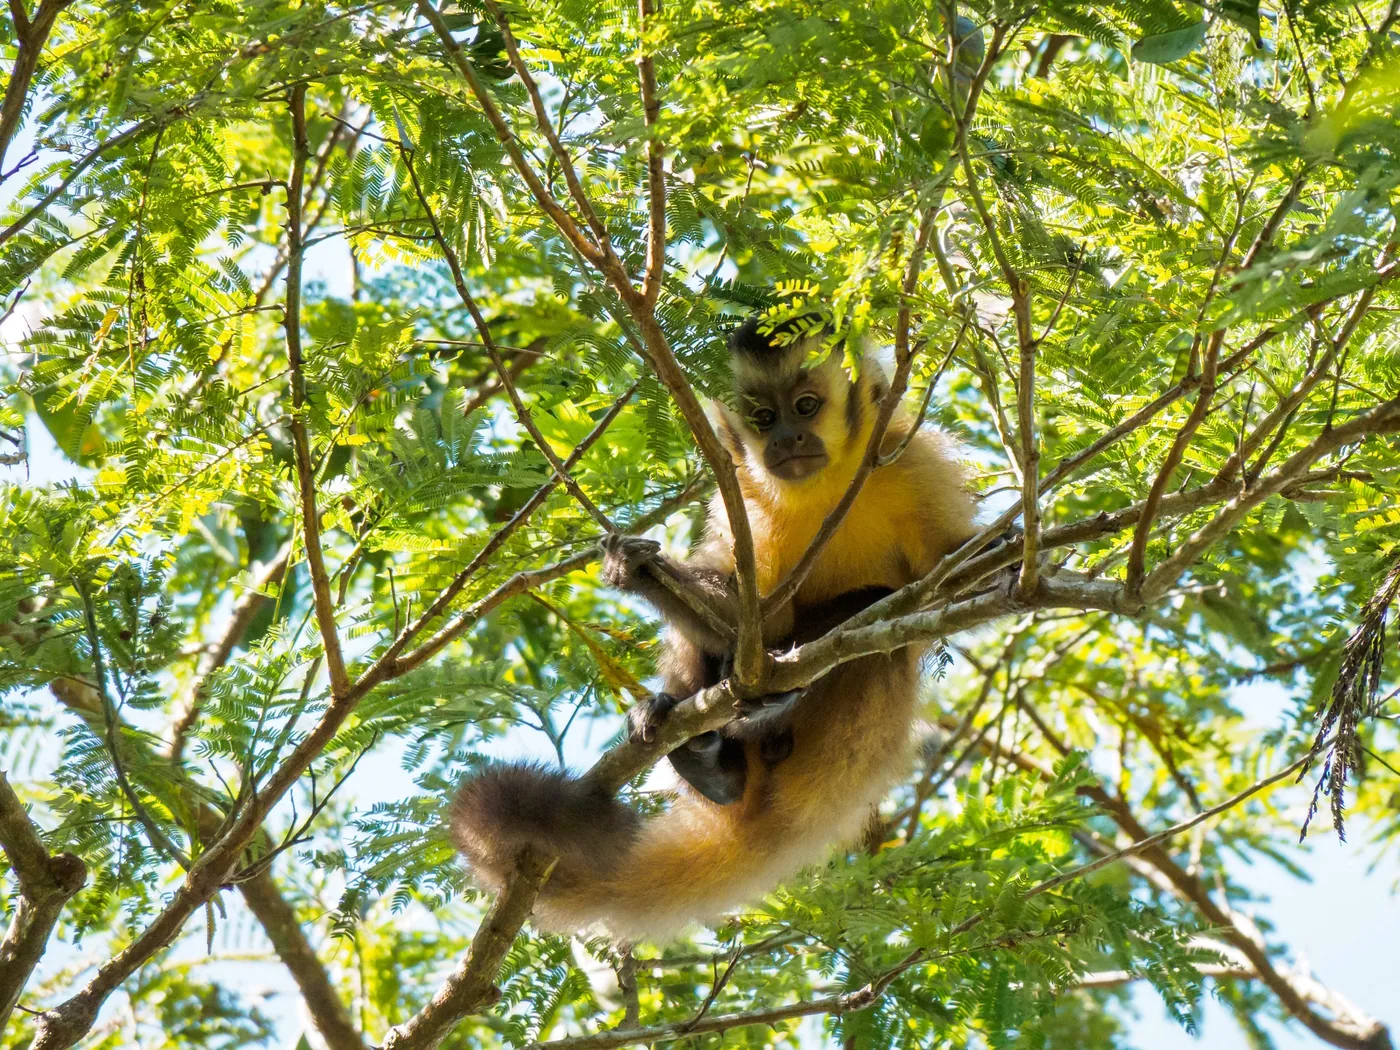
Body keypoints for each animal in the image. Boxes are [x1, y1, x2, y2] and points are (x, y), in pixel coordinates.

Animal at [449, 315, 978, 943]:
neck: (829, 484)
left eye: (806, 406)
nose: (786, 440)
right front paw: (638, 572)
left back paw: (771, 704)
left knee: (876, 637)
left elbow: (958, 578)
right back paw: (712, 765)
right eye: (763, 417)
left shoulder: (915, 459)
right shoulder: (742, 493)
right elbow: (755, 618)